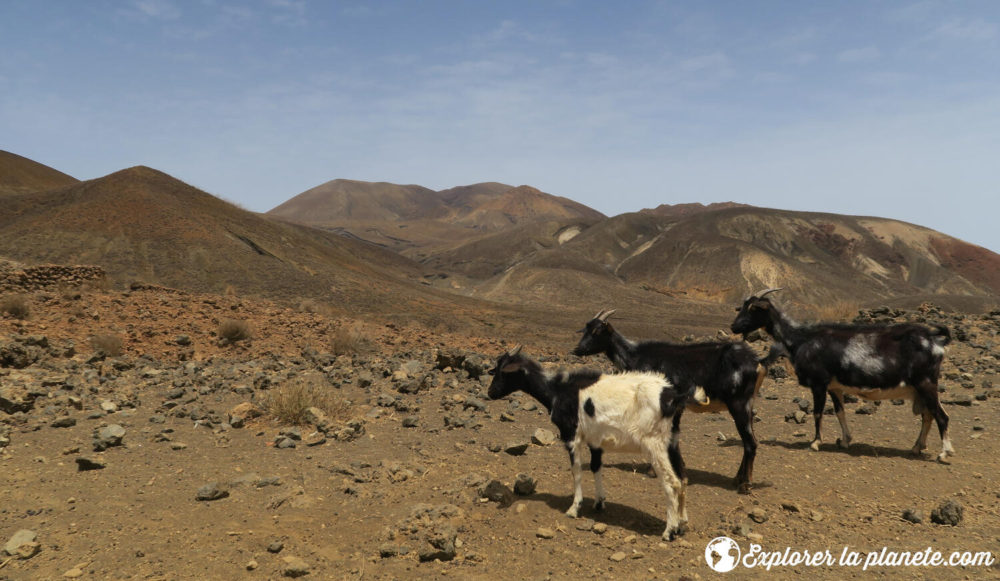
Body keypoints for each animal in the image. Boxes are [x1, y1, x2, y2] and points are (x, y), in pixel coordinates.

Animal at [486, 344, 708, 540]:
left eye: (503, 371)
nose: (490, 393)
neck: (557, 391)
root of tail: (674, 396)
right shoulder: (595, 440)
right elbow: (595, 467)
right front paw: (599, 502)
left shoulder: (571, 435)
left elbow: (576, 471)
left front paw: (574, 508)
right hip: (672, 441)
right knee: (683, 477)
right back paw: (682, 524)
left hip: (655, 444)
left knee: (672, 481)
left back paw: (669, 531)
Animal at [572, 310, 764, 492]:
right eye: (586, 328)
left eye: (597, 331)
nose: (577, 349)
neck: (635, 356)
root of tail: (756, 363)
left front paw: (654, 470)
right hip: (748, 405)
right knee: (750, 439)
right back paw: (737, 479)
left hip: (739, 403)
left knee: (750, 443)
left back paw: (745, 485)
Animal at [728, 288, 952, 460]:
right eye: (742, 306)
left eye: (754, 308)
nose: (734, 326)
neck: (802, 338)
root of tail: (935, 339)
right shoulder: (834, 387)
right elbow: (839, 412)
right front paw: (845, 440)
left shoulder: (818, 383)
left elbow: (818, 412)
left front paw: (815, 442)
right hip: (919, 388)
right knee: (928, 415)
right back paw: (916, 447)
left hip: (926, 382)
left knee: (941, 415)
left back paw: (944, 453)